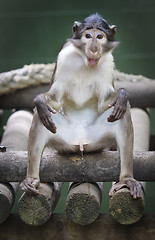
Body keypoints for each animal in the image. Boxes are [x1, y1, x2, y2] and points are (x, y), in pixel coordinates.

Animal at [20, 14, 143, 200]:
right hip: (64, 140)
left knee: (122, 111)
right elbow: (54, 100)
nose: (93, 48)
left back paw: (126, 179)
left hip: (96, 140)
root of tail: (80, 141)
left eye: (99, 37)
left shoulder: (108, 61)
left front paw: (122, 95)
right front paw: (40, 100)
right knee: (41, 116)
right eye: (88, 36)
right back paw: (32, 179)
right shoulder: (64, 55)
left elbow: (106, 103)